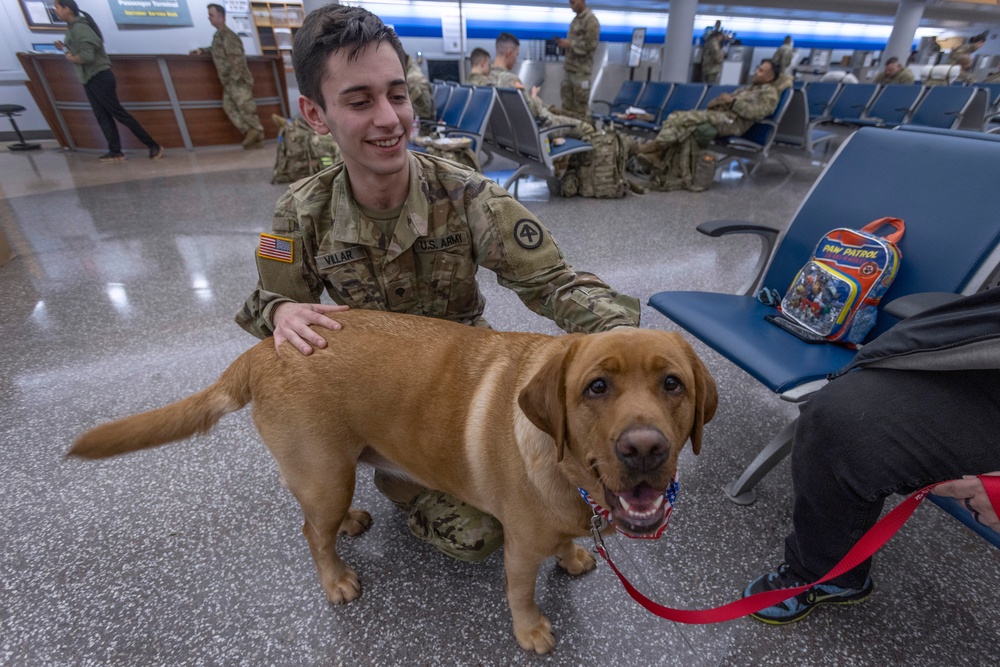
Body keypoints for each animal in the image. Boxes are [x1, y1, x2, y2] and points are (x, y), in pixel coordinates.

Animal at [70, 310, 716, 656]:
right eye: (596, 388)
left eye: (673, 384)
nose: (645, 449)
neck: (571, 476)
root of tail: (264, 348)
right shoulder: (519, 546)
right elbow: (522, 592)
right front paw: (530, 629)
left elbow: (565, 545)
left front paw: (575, 555)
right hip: (326, 475)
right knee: (311, 532)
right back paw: (335, 578)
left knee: (323, 519)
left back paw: (352, 523)